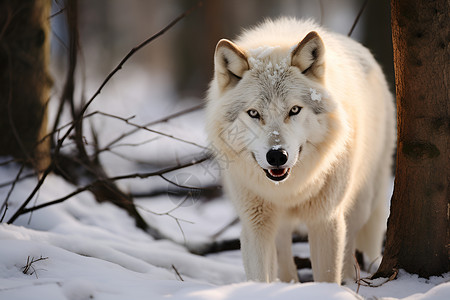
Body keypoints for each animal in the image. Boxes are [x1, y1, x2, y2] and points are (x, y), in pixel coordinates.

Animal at [206, 17, 396, 284]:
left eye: (294, 110)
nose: (277, 155)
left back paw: (350, 281)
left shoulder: (325, 219)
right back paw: (289, 283)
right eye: (254, 113)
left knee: (351, 245)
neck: (289, 189)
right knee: (283, 249)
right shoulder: (255, 223)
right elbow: (259, 276)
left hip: (361, 203)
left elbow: (327, 275)